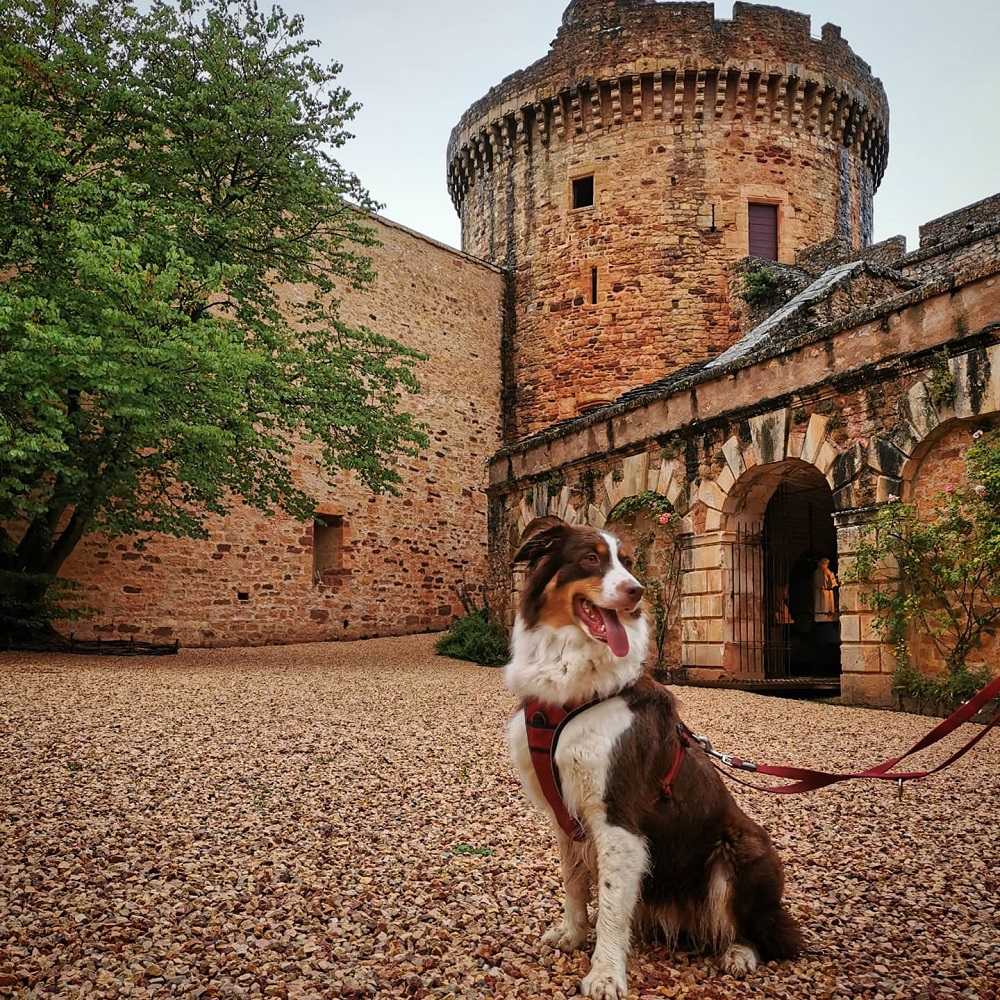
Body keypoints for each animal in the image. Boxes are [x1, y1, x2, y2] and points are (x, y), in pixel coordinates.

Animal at [504, 520, 800, 996]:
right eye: (591, 558)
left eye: (627, 562)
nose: (636, 591)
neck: (571, 692)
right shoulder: (566, 814)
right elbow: (574, 882)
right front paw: (572, 934)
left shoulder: (617, 814)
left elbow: (609, 904)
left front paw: (605, 974)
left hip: (739, 848)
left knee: (767, 933)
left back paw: (739, 953)